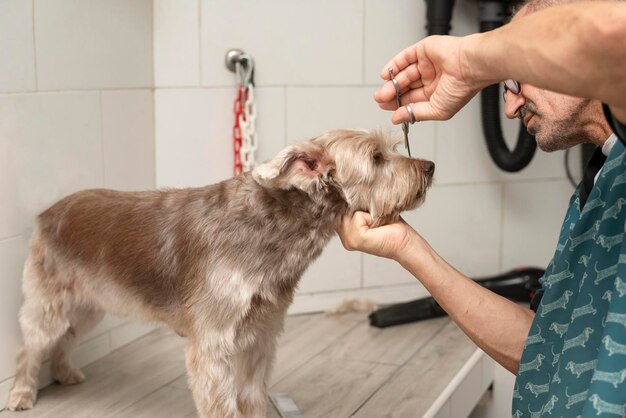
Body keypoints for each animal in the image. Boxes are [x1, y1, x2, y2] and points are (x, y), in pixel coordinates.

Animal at [4, 129, 434, 416]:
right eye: (376, 158)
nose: (429, 165)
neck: (275, 231)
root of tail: (47, 214)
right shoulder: (213, 346)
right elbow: (222, 404)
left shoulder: (260, 337)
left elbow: (253, 396)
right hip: (50, 300)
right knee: (32, 345)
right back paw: (21, 394)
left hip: (90, 303)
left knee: (65, 338)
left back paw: (65, 372)